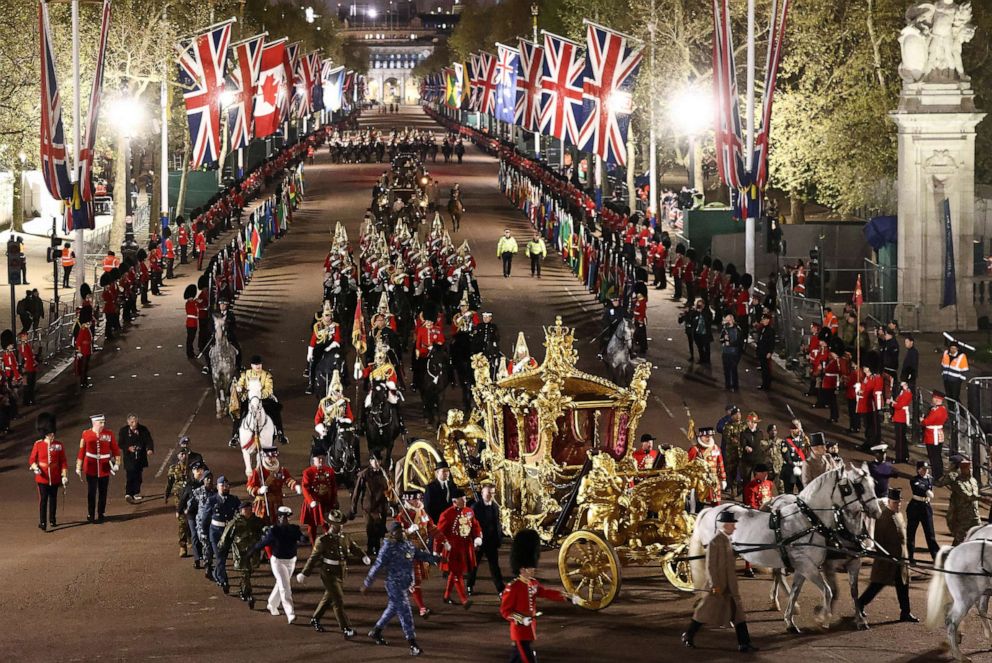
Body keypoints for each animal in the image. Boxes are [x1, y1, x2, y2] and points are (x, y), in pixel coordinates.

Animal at [692, 464, 880, 636]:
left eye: (873, 484)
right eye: (855, 487)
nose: (876, 511)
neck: (806, 521)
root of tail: (711, 510)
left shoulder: (803, 567)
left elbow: (796, 592)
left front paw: (790, 622)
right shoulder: (808, 566)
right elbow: (828, 591)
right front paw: (822, 619)